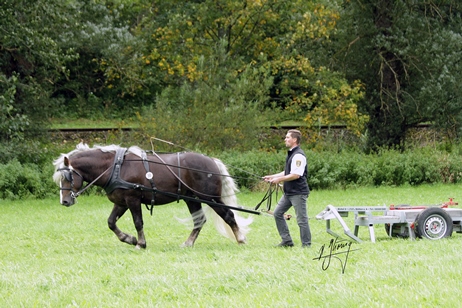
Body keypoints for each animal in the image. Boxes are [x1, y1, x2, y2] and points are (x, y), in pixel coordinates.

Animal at [53, 143, 253, 249]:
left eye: (67, 176)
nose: (64, 201)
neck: (115, 167)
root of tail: (212, 160)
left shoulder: (133, 199)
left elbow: (138, 222)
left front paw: (140, 243)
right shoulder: (121, 202)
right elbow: (111, 222)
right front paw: (128, 238)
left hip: (209, 198)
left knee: (228, 215)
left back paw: (241, 239)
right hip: (191, 199)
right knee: (199, 220)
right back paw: (188, 243)